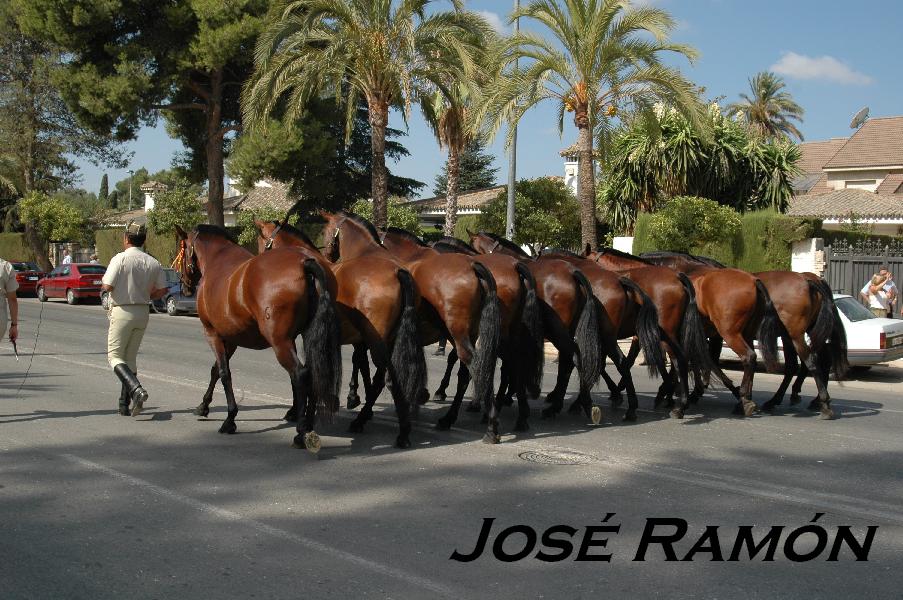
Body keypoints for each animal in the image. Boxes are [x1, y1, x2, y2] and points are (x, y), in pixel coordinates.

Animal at [174, 225, 342, 450]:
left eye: (182, 250)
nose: (184, 285)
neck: (217, 259)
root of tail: (305, 262)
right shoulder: (232, 339)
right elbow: (215, 371)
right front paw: (203, 406)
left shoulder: (213, 334)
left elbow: (224, 373)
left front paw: (230, 419)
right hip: (305, 337)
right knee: (311, 371)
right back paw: (307, 422)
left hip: (279, 342)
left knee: (300, 374)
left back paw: (301, 432)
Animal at [318, 211, 502, 440]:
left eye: (324, 231)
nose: (327, 255)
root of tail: (472, 266)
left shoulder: (366, 335)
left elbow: (361, 362)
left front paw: (356, 397)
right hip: (466, 333)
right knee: (467, 373)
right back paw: (454, 417)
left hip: (457, 334)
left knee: (472, 365)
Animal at [636, 251, 784, 414]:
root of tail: (753, 281)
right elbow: (699, 360)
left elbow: (698, 361)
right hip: (746, 334)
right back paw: (746, 399)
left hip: (730, 334)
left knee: (749, 357)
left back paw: (746, 398)